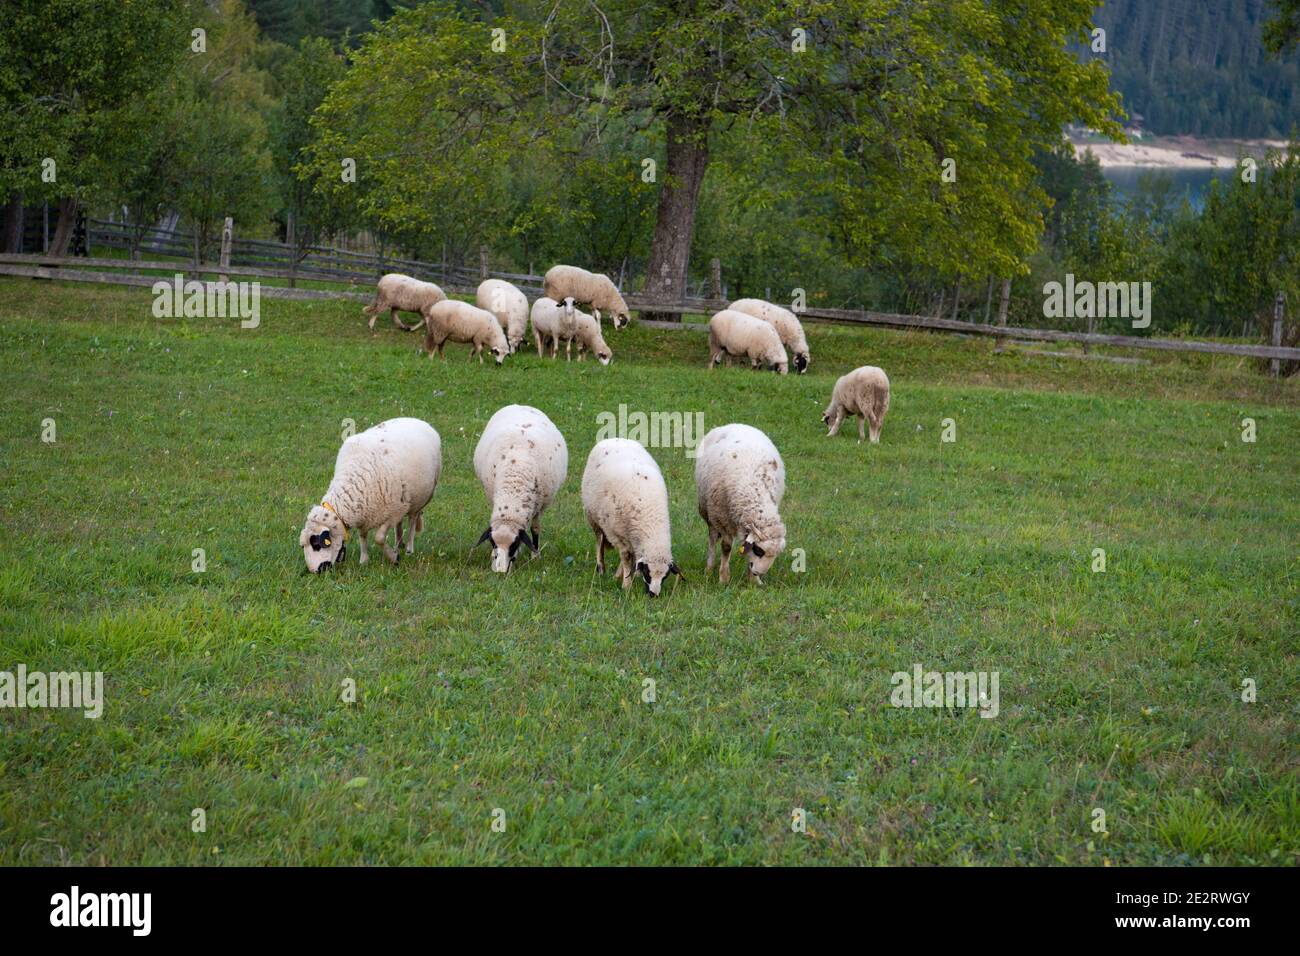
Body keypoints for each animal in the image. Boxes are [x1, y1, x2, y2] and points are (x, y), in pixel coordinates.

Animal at [299, 417, 442, 573]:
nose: (316, 571)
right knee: (400, 523)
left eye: (317, 545)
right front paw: (364, 560)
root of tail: (419, 421)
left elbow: (379, 538)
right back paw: (399, 544)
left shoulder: (391, 513)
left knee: (412, 522)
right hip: (403, 501)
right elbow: (363, 535)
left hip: (419, 500)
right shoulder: (365, 511)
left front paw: (393, 558)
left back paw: (409, 549)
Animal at [471, 405, 568, 573]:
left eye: (514, 544)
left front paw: (535, 556)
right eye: (493, 543)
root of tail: (520, 405)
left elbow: (535, 529)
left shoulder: (539, 506)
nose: (501, 572)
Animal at [581, 438, 682, 596]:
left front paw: (623, 576)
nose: (653, 595)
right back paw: (601, 568)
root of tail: (614, 438)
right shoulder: (617, 534)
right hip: (593, 517)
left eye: (665, 576)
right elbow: (626, 556)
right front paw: (626, 585)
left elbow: (631, 557)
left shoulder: (632, 535)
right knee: (599, 541)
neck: (651, 520)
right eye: (647, 573)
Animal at [694, 424, 787, 584]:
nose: (758, 572)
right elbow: (726, 547)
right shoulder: (721, 517)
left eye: (775, 555)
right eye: (759, 550)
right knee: (712, 537)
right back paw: (709, 568)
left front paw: (753, 581)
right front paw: (724, 579)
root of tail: (734, 424)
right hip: (708, 510)